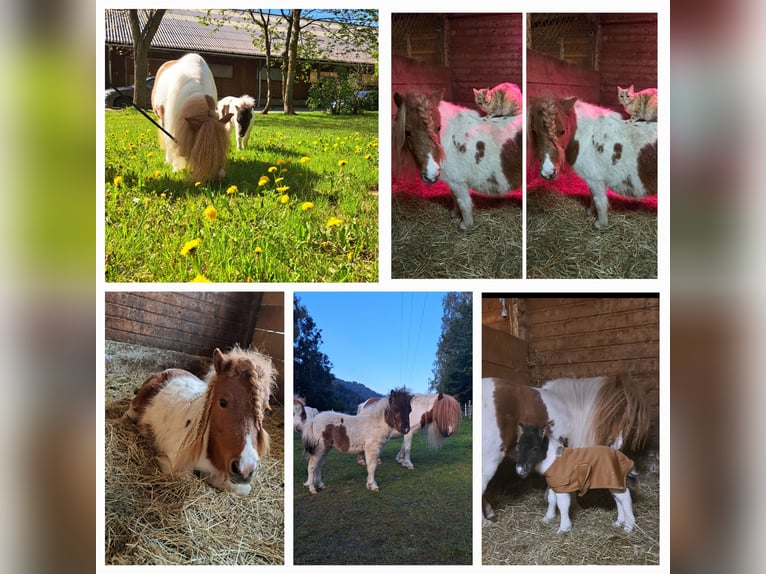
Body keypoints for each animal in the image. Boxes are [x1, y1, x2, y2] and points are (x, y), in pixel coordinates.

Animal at [126, 348, 280, 498]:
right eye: (222, 402)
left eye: (264, 409)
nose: (245, 467)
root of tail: (168, 371)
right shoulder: (174, 466)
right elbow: (186, 477)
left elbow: (241, 488)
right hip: (132, 411)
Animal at [392, 91, 524, 231]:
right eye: (407, 132)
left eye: (438, 128)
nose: (431, 174)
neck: (449, 140)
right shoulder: (453, 182)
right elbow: (454, 198)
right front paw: (454, 214)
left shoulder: (458, 183)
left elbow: (463, 203)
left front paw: (465, 225)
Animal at [528, 95, 660, 228]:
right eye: (534, 131)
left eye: (562, 131)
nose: (547, 171)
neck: (588, 139)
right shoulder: (591, 180)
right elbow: (592, 196)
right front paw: (590, 213)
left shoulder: (596, 180)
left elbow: (599, 201)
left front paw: (600, 224)